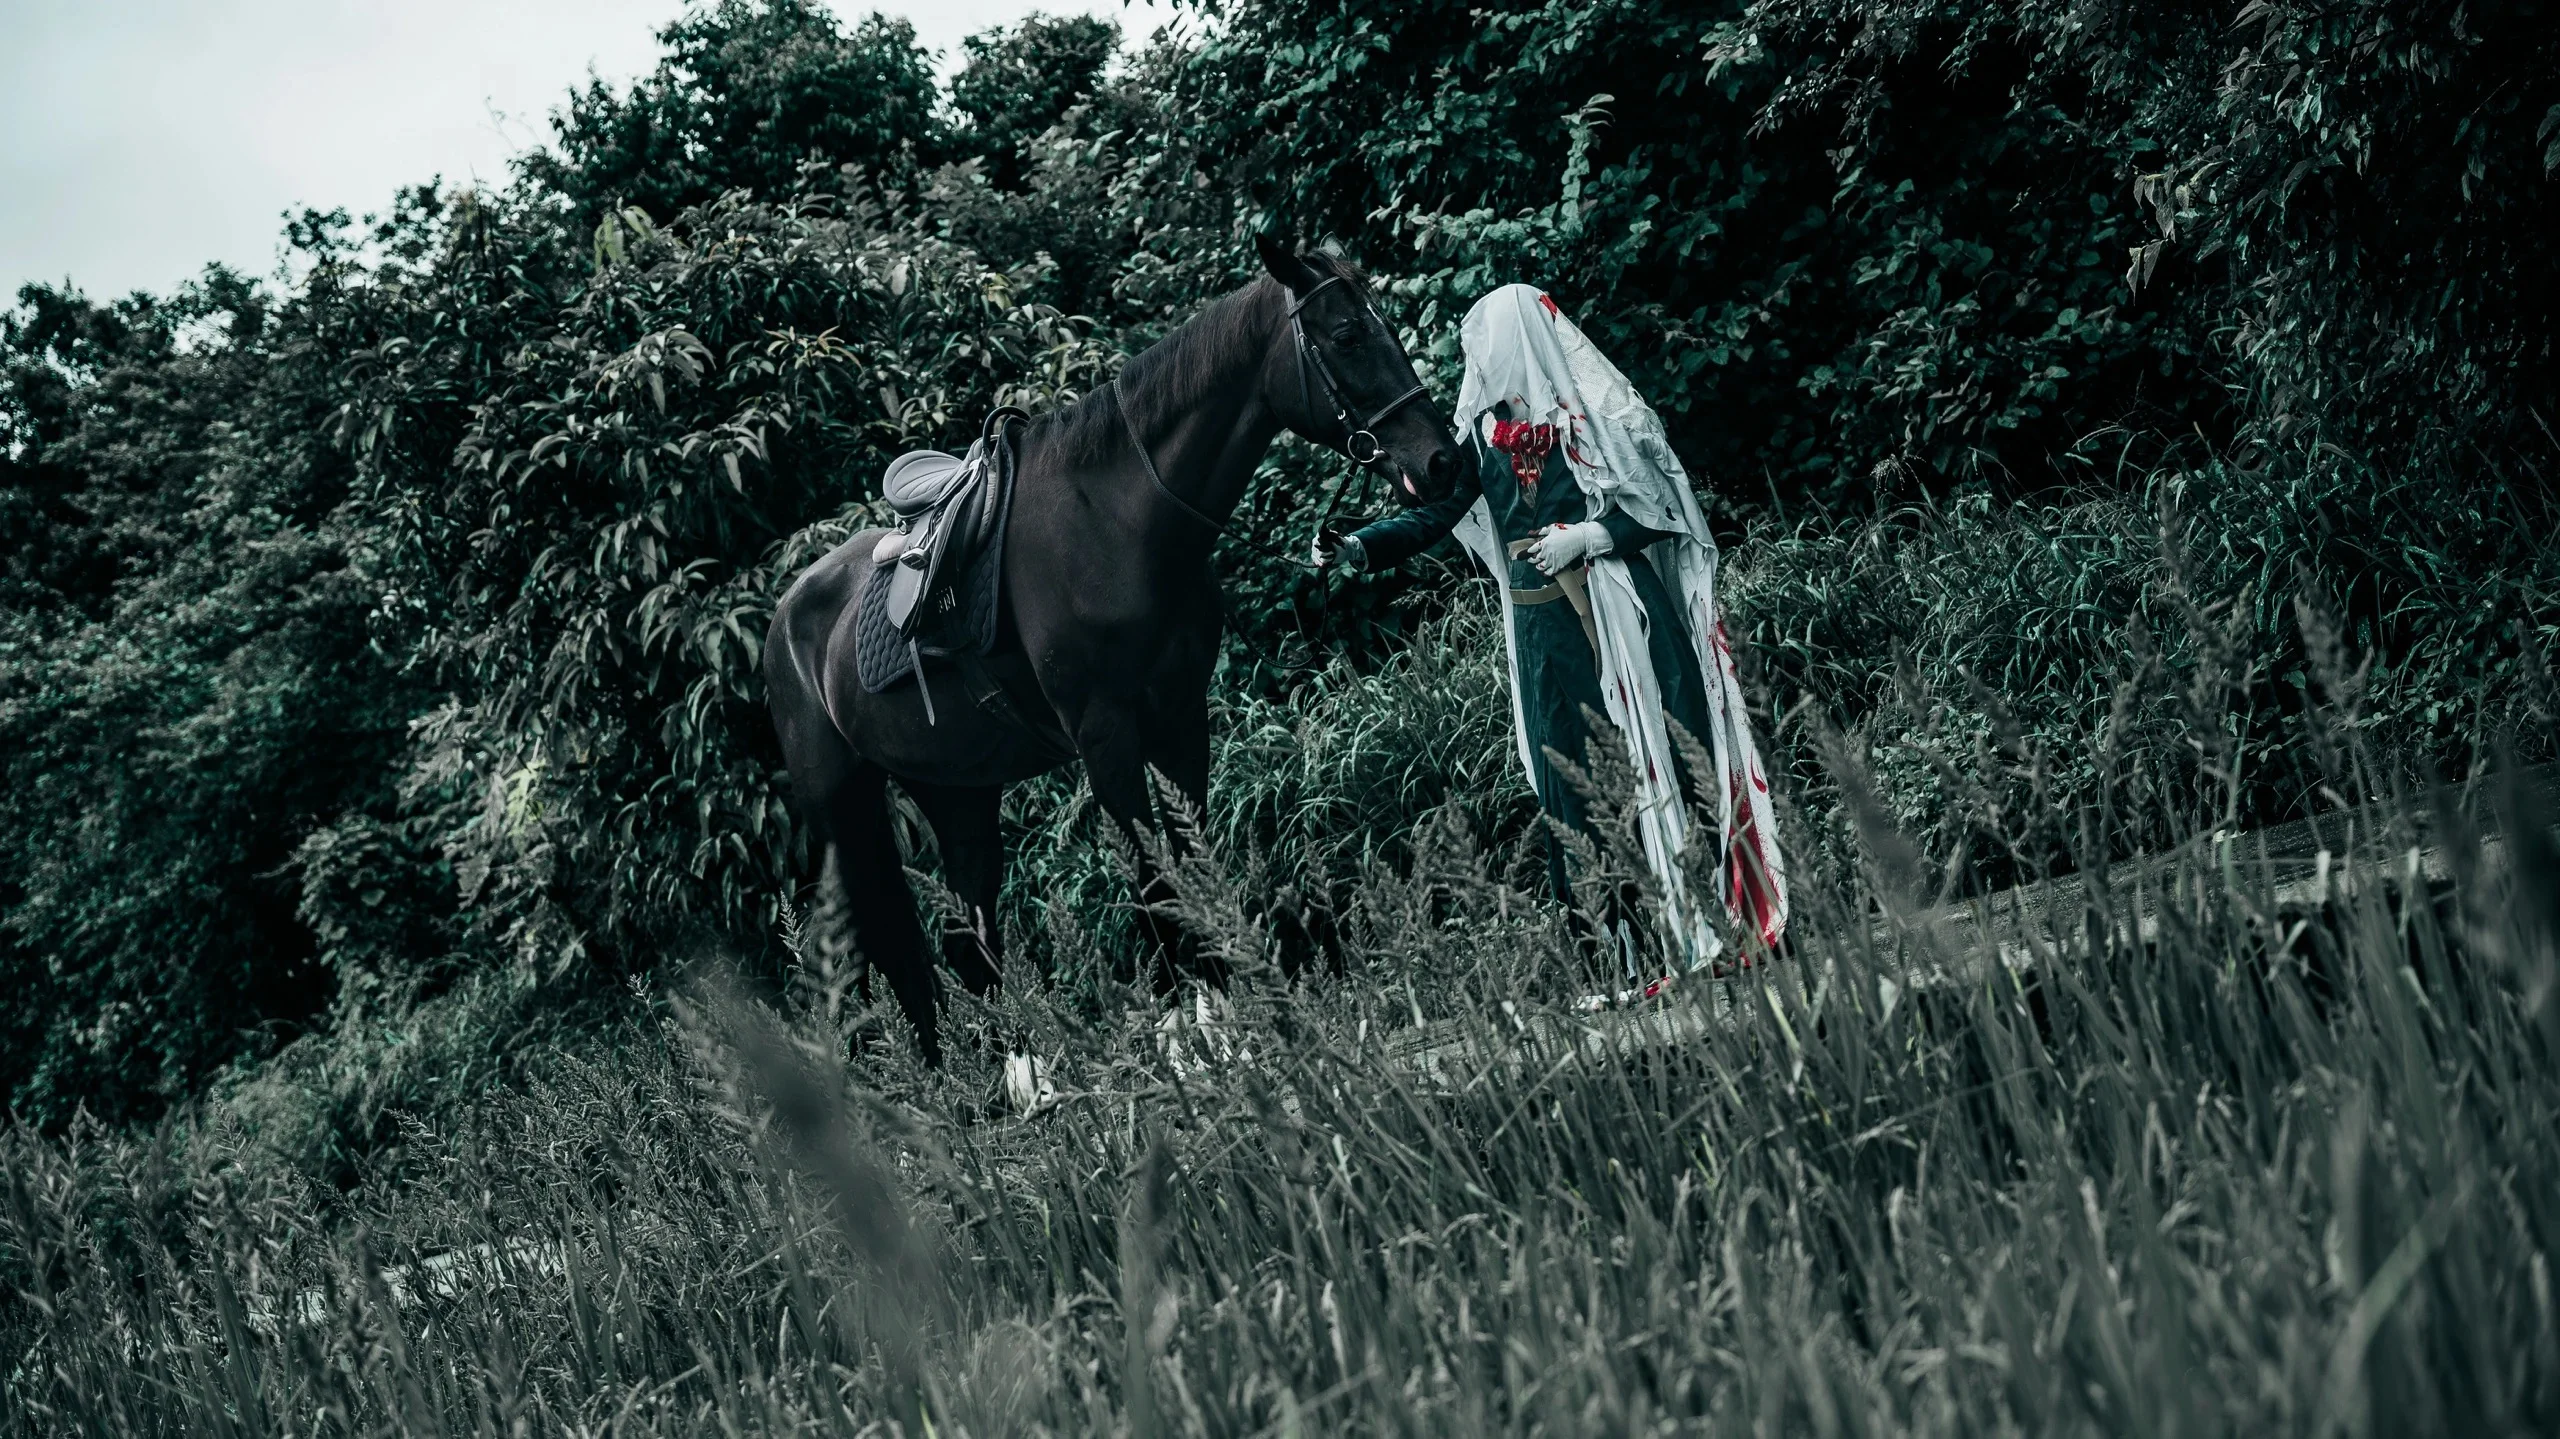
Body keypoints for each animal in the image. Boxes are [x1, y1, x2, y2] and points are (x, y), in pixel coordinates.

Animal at [765, 238, 1465, 1061]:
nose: (1444, 461)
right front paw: (1190, 1038)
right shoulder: (1106, 735)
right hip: (844, 815)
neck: (1119, 521)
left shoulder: (1179, 719)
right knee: (879, 953)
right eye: (1348, 335)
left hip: (958, 795)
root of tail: (784, 617)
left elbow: (1195, 866)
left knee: (968, 940)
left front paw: (1241, 1020)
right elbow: (1154, 886)